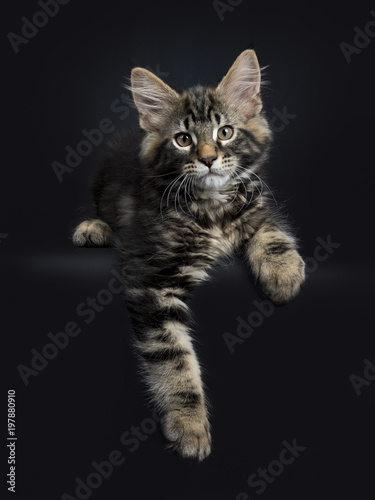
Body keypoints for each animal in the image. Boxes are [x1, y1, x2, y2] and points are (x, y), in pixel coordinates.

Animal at [72, 49, 306, 460]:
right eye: (183, 140)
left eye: (225, 132)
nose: (209, 158)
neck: (211, 208)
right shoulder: (153, 281)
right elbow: (173, 358)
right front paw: (189, 424)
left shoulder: (257, 205)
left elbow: (271, 230)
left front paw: (284, 274)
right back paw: (93, 229)